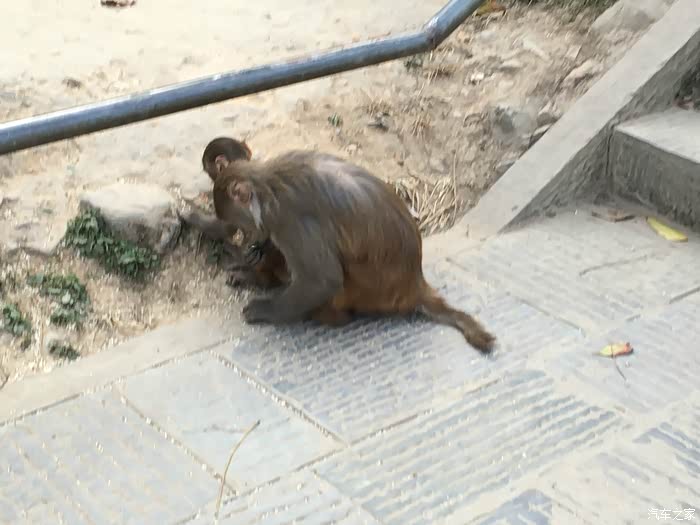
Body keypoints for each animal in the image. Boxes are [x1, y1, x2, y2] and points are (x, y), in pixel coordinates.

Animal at [191, 137, 496, 354]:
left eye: (238, 222)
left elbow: (322, 279)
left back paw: (323, 315)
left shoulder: (291, 221)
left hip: (366, 289)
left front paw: (263, 310)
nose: (246, 234)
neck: (268, 186)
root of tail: (414, 286)